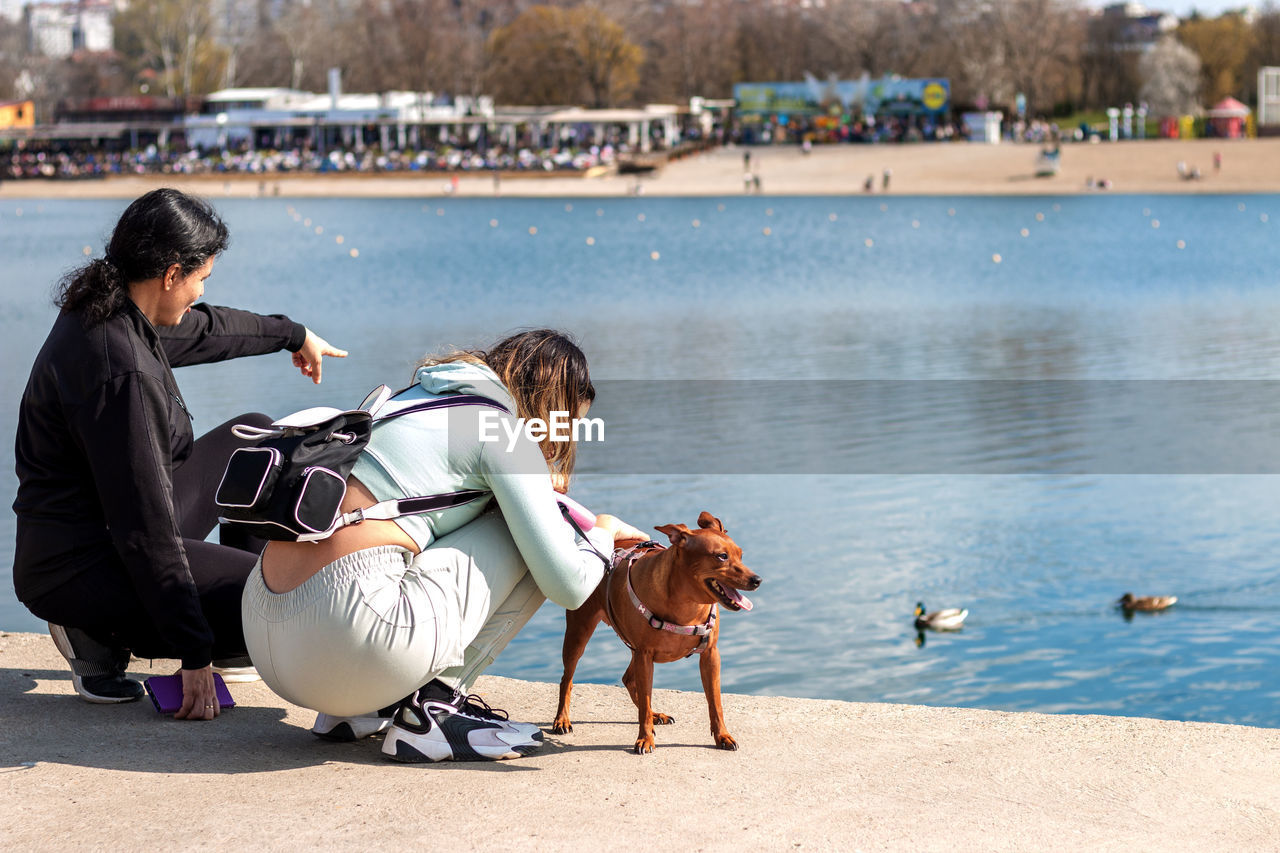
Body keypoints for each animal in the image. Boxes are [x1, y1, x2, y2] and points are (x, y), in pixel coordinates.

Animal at [550, 507, 757, 747]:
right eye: (721, 556)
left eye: (741, 554)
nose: (757, 580)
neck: (687, 605)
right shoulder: (645, 655)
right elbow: (645, 700)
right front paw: (644, 739)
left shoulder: (710, 654)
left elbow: (715, 702)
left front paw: (722, 735)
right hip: (579, 633)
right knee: (567, 679)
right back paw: (562, 719)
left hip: (633, 650)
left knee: (628, 680)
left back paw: (655, 714)